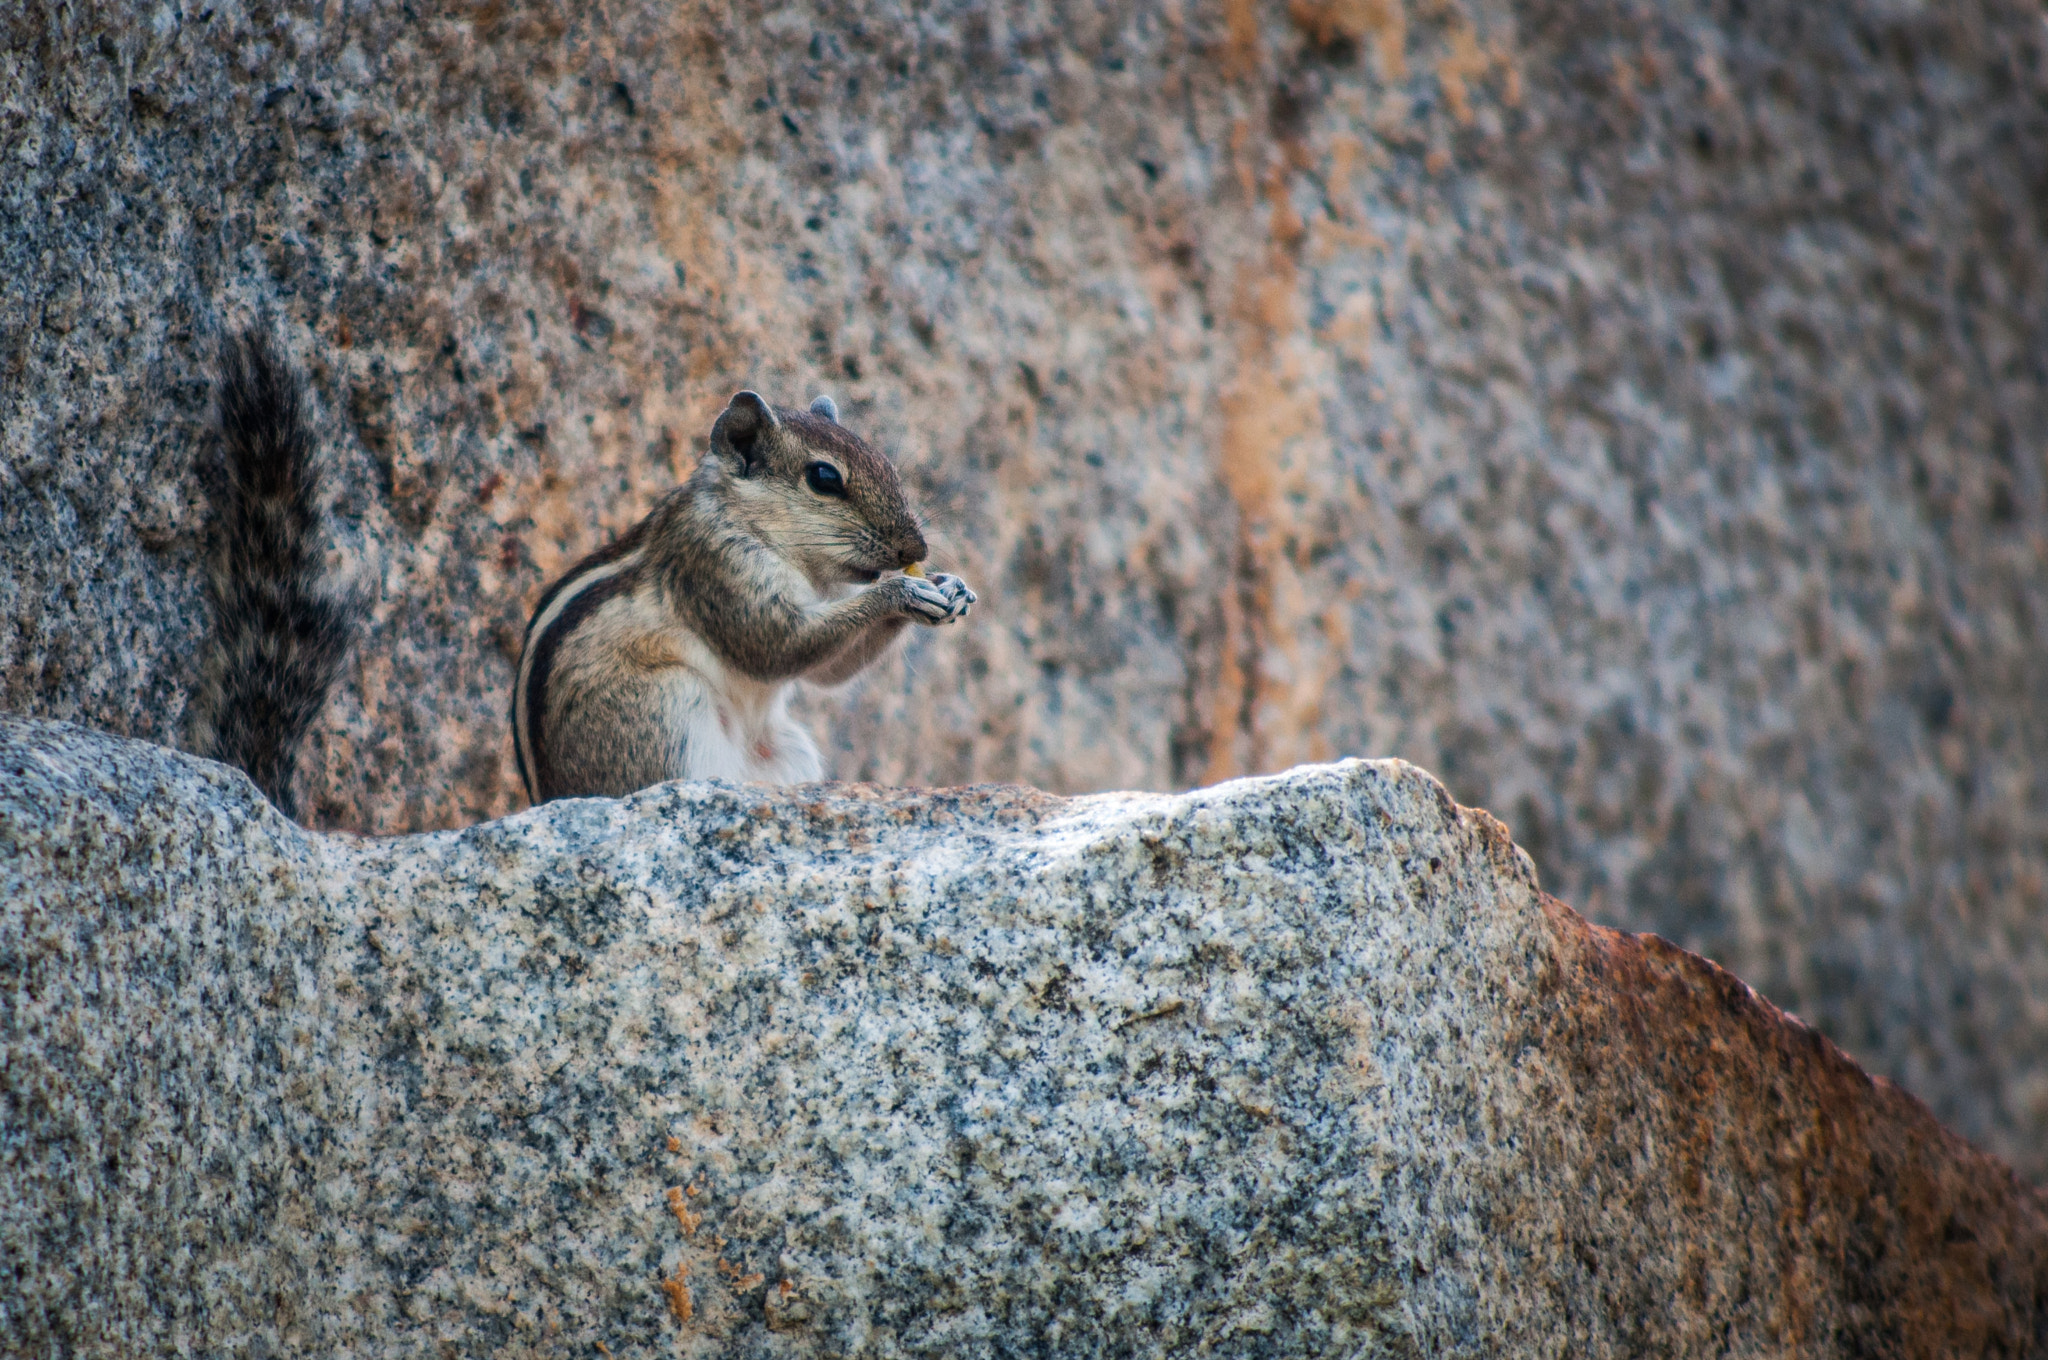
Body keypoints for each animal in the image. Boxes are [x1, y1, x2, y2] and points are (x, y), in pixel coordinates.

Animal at [520, 387, 983, 802]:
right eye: (824, 478)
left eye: (888, 465)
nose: (916, 550)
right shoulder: (717, 564)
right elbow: (776, 645)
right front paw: (902, 591)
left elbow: (827, 672)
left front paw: (952, 587)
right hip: (667, 708)